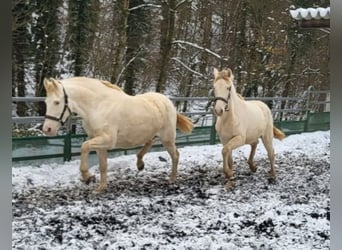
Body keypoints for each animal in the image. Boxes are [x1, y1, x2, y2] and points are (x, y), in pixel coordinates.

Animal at [41, 77, 194, 192]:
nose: (47, 129)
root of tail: (167, 101)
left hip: (167, 138)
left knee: (175, 155)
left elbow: (84, 147)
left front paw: (87, 176)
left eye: (57, 102)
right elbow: (103, 165)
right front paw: (101, 188)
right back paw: (140, 164)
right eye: (46, 102)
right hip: (152, 133)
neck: (98, 106)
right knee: (149, 143)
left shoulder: (108, 140)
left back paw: (172, 179)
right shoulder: (99, 142)